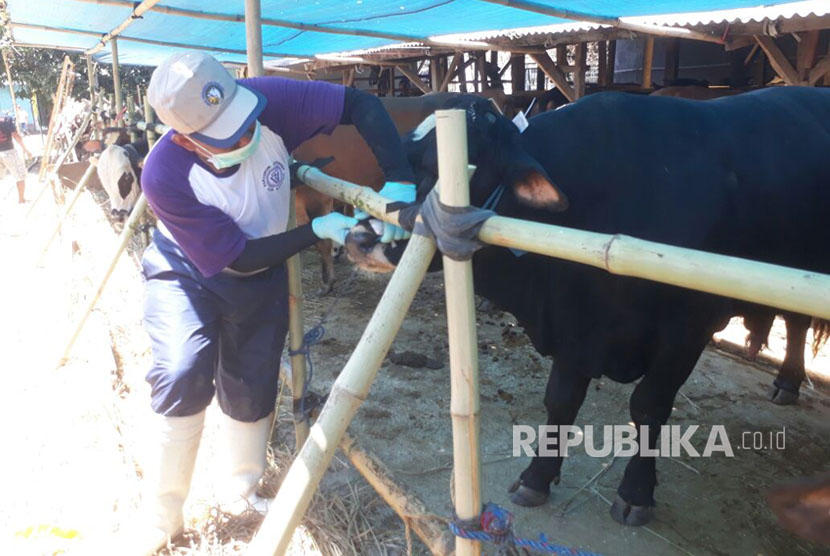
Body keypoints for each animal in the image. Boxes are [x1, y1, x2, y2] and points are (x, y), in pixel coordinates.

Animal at [344, 90, 830, 524]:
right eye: (401, 157)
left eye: (454, 171)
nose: (359, 239)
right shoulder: (577, 327)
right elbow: (561, 400)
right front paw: (537, 478)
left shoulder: (686, 329)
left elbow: (649, 406)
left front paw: (636, 494)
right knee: (798, 323)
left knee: (798, 322)